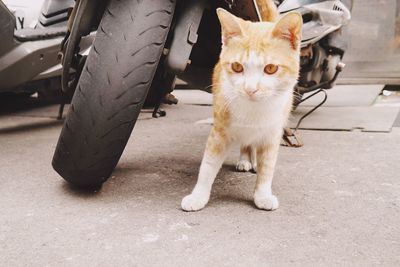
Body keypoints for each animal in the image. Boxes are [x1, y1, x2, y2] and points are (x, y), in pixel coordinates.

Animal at [180, 3, 300, 213]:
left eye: (270, 69)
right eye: (237, 67)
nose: (250, 89)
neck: (254, 111)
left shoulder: (272, 133)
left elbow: (268, 166)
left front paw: (262, 195)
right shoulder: (219, 131)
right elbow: (208, 165)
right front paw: (198, 196)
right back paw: (245, 159)